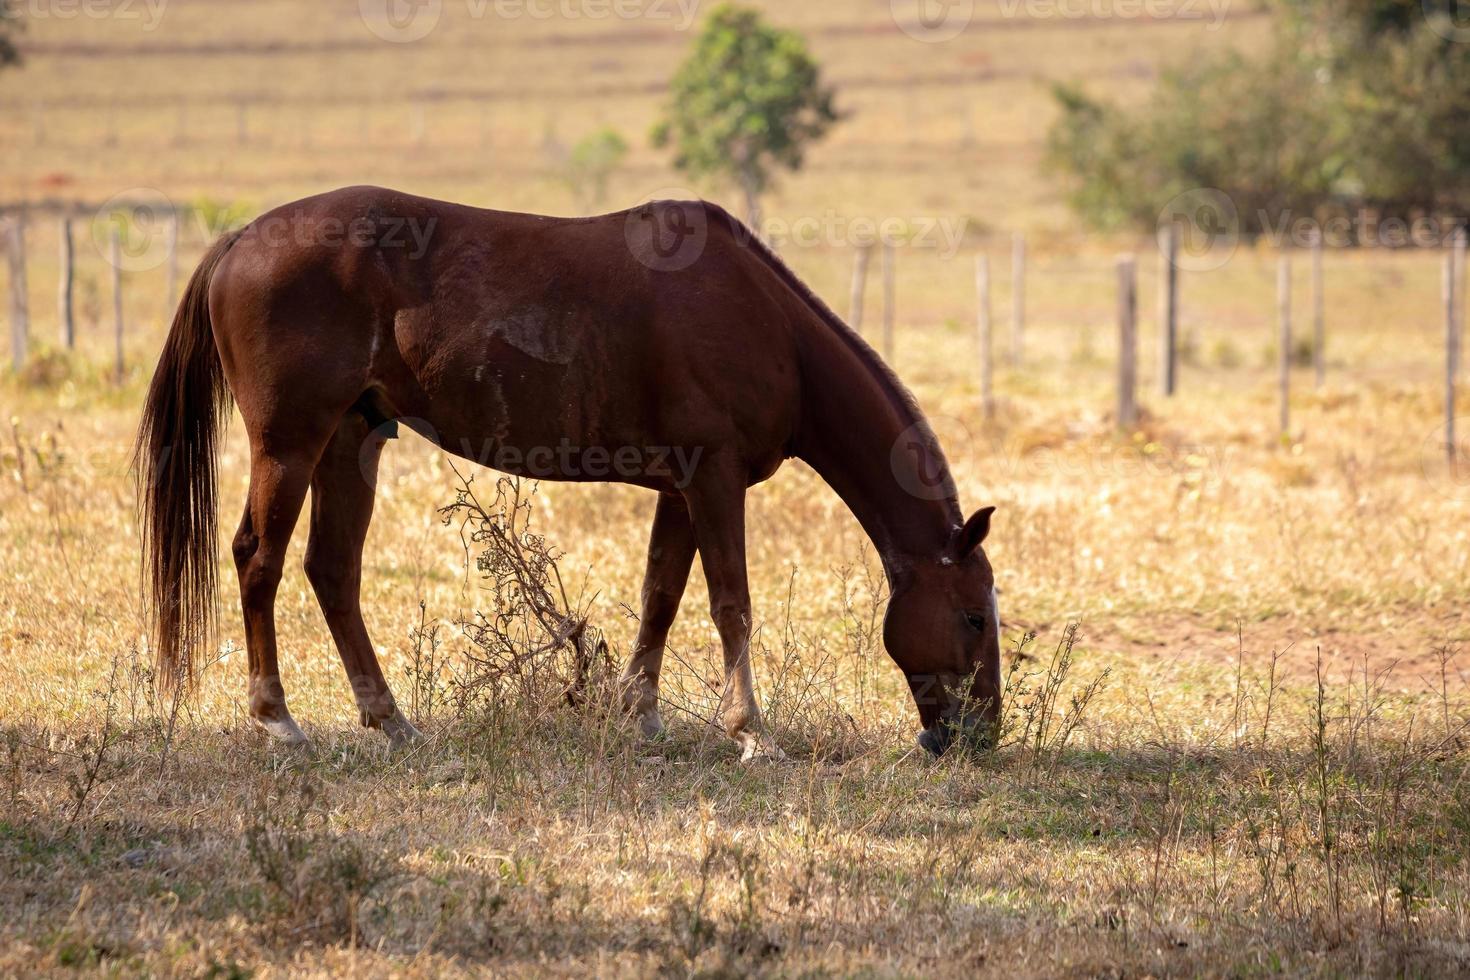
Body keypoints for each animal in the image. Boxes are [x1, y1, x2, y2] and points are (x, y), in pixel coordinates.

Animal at [135, 188, 999, 764]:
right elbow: (731, 606)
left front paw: (641, 715)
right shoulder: (714, 479)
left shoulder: (681, 489)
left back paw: (391, 720)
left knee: (332, 571)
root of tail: (242, 239)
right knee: (260, 560)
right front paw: (751, 732)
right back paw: (276, 719)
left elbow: (661, 597)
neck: (767, 325)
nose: (980, 736)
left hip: (353, 438)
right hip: (292, 442)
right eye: (972, 618)